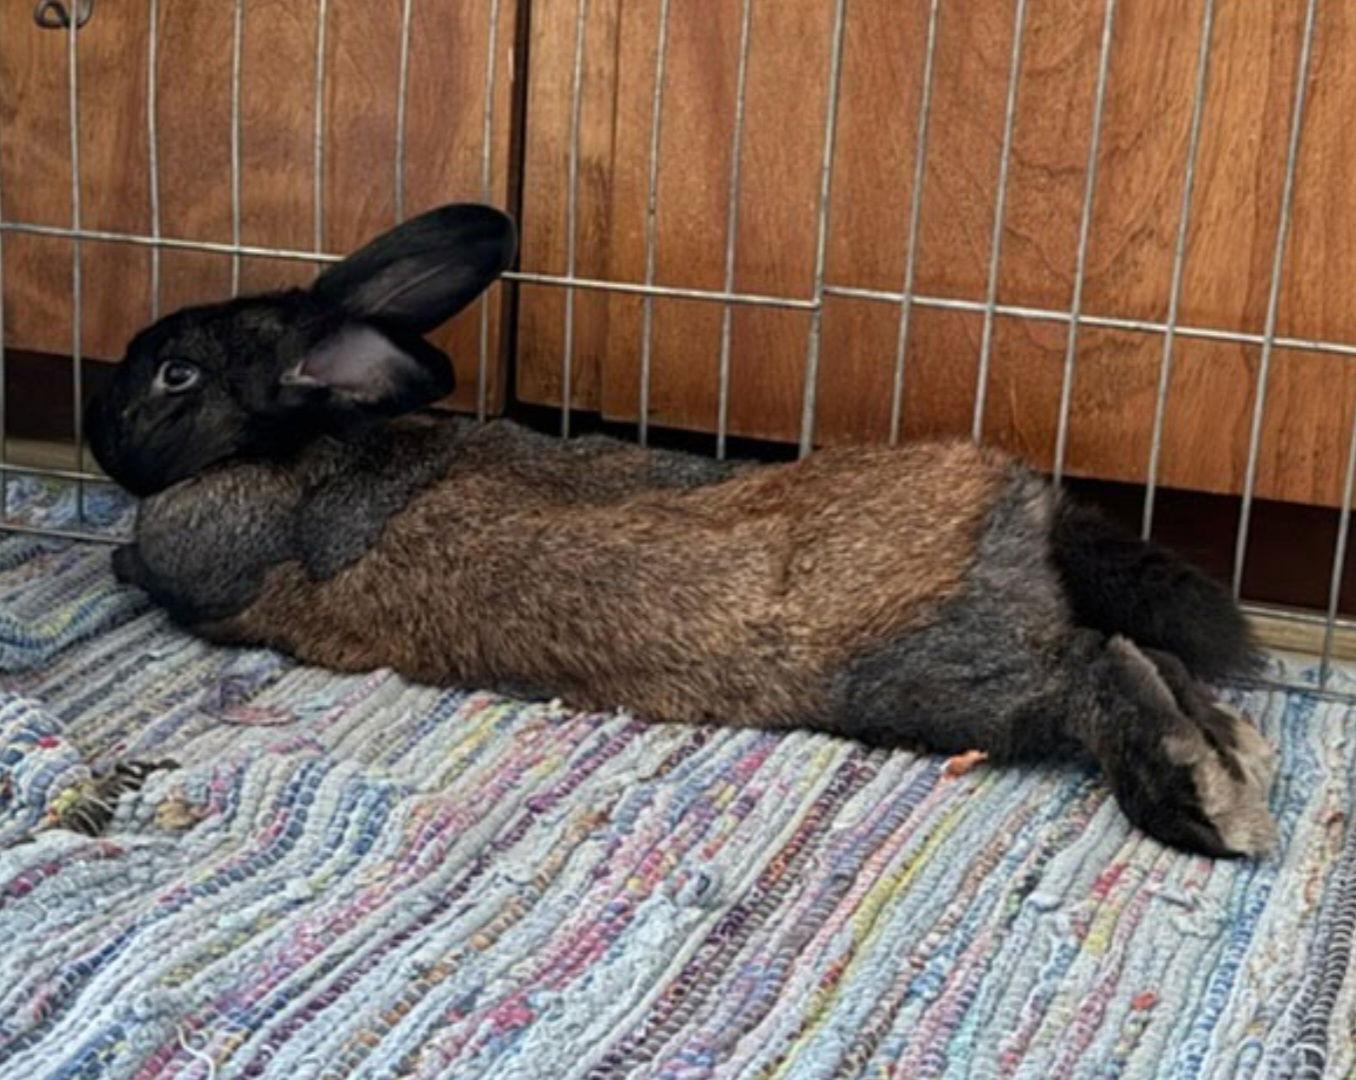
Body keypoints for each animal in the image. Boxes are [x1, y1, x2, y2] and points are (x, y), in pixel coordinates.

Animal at [85, 202, 1277, 859]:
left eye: (176, 375)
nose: (93, 420)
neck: (289, 443)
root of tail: (1018, 502)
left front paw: (118, 556)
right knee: (1146, 657)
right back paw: (1236, 754)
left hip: (929, 671)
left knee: (1089, 669)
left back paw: (1198, 798)